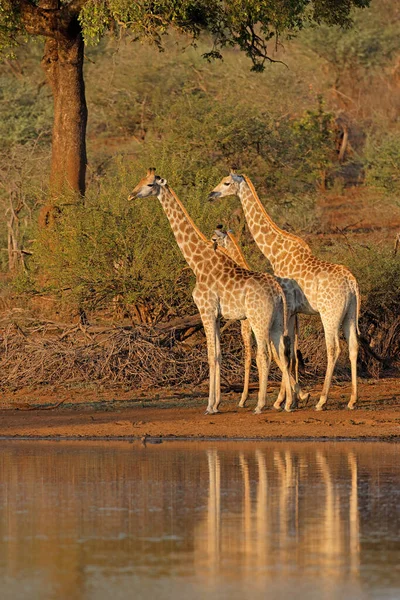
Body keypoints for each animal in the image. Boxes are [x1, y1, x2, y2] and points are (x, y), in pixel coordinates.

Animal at [128, 169, 294, 412]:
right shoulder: (216, 314)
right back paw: (288, 402)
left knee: (264, 355)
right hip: (277, 321)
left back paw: (260, 405)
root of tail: (278, 291)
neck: (197, 263)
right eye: (140, 180)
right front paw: (216, 403)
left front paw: (209, 406)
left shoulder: (205, 309)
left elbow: (210, 355)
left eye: (150, 184)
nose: (131, 195)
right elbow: (218, 355)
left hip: (258, 319)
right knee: (282, 352)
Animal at [212, 223, 310, 410]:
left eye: (215, 238)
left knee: (280, 354)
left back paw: (289, 398)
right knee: (290, 355)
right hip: (286, 328)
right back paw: (295, 397)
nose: (212, 245)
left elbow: (249, 357)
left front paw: (243, 399)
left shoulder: (245, 325)